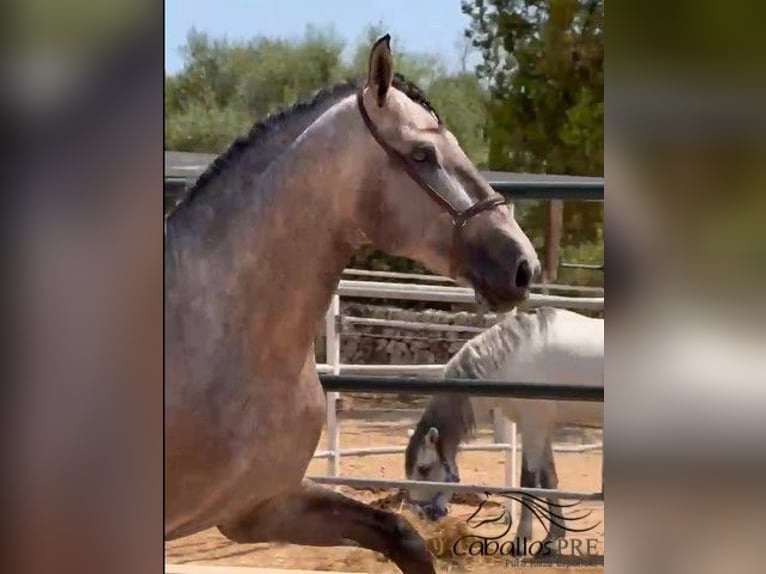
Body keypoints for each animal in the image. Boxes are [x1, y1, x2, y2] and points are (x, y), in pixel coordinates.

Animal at [404, 307, 603, 552]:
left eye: (423, 468)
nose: (419, 513)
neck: (515, 356)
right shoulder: (542, 427)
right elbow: (549, 480)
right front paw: (553, 539)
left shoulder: (533, 425)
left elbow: (528, 481)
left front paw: (520, 541)